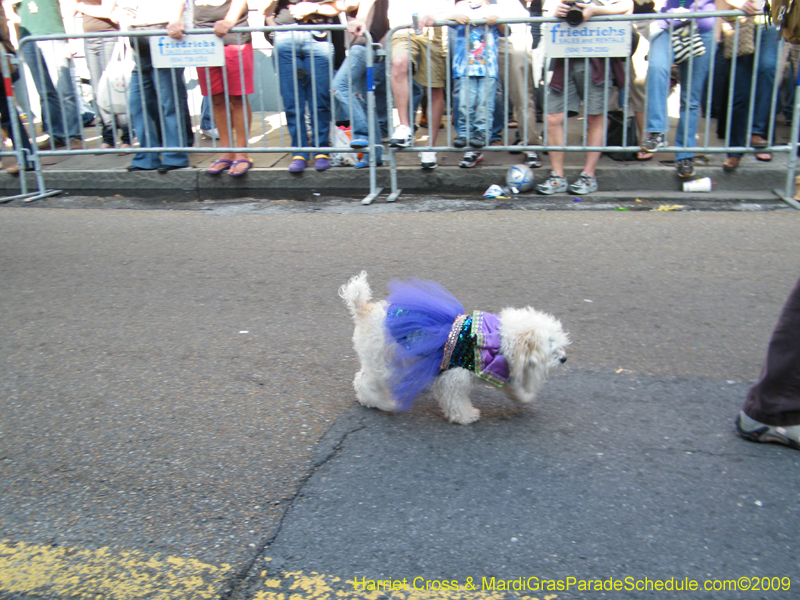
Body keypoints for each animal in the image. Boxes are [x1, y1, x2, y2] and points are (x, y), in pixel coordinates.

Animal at [340, 270, 568, 424]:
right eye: (549, 344)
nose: (564, 358)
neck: (499, 339)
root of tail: (364, 309)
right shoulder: (454, 378)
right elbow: (455, 401)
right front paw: (466, 416)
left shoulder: (497, 372)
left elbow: (513, 389)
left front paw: (525, 398)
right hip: (385, 365)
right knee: (363, 383)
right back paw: (383, 402)